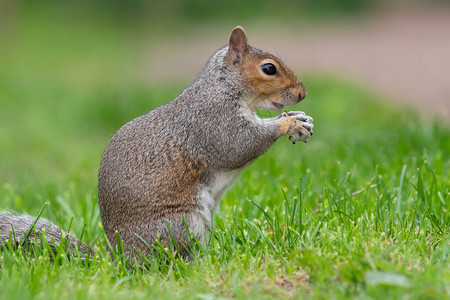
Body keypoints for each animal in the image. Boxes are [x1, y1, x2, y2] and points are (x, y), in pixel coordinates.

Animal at [0, 25, 312, 260]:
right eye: (269, 69)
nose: (302, 94)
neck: (224, 86)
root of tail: (122, 258)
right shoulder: (212, 121)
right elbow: (239, 145)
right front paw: (288, 123)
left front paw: (298, 118)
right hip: (180, 224)